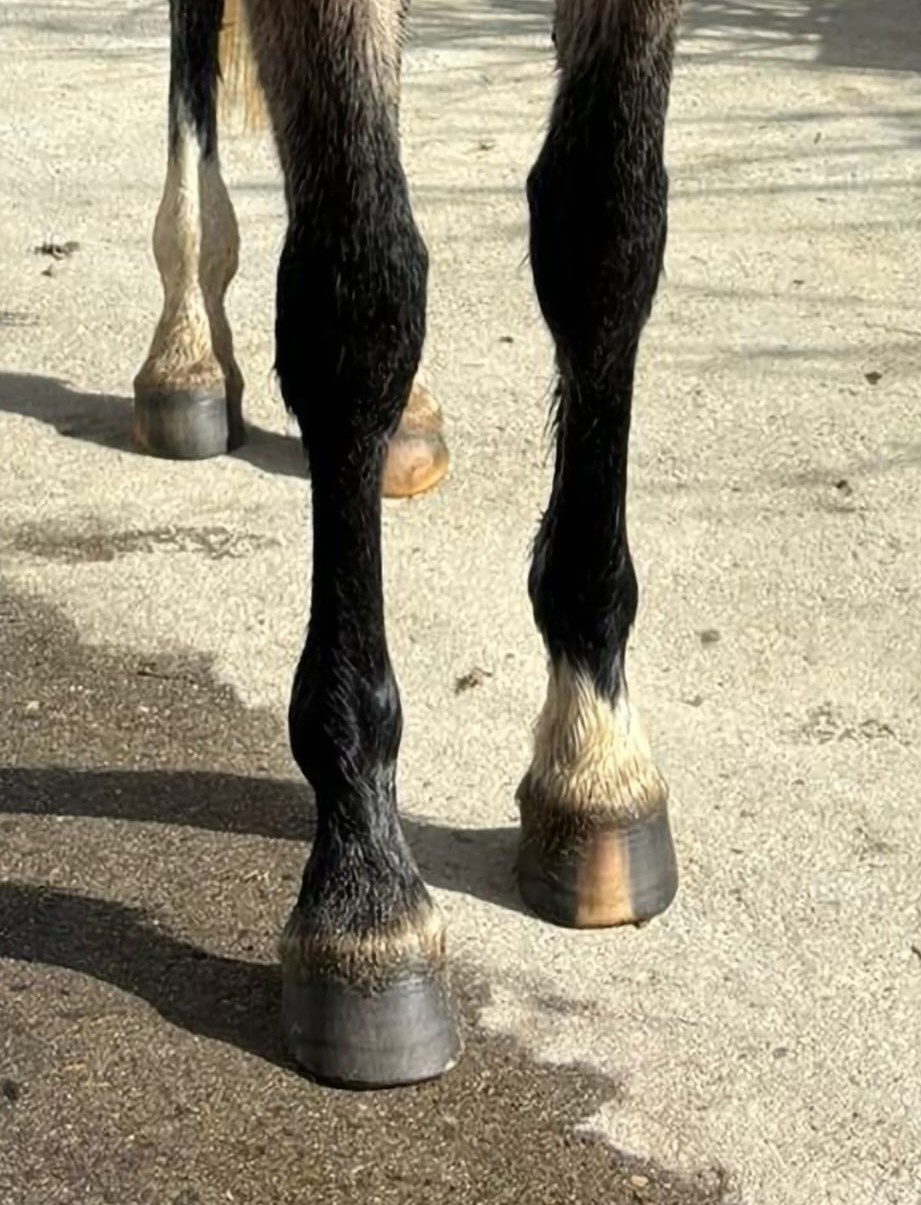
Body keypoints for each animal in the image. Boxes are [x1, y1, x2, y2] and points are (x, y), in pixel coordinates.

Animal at [132, 0, 682, 1090]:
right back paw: (187, 349)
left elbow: (603, 230)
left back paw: (406, 425)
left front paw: (595, 749)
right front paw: (364, 883)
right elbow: (358, 291)